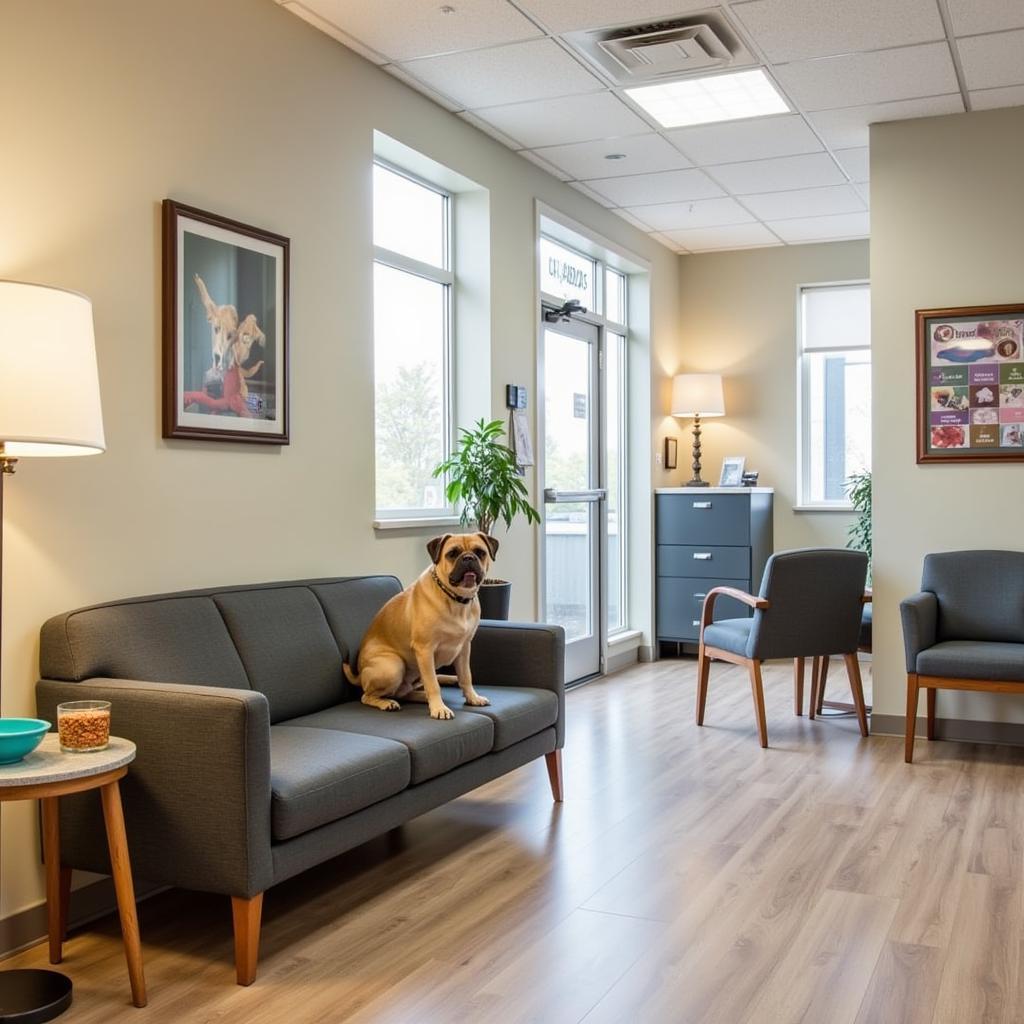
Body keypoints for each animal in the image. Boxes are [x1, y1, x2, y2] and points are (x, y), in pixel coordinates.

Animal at [344, 536, 499, 720]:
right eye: (452, 553)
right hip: (393, 666)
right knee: (367, 696)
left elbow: (466, 676)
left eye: (480, 552)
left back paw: (428, 693)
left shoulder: (464, 648)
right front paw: (439, 708)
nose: (468, 558)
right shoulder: (425, 650)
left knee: (406, 692)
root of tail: (360, 675)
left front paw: (472, 697)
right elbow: (432, 684)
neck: (455, 599)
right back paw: (388, 703)